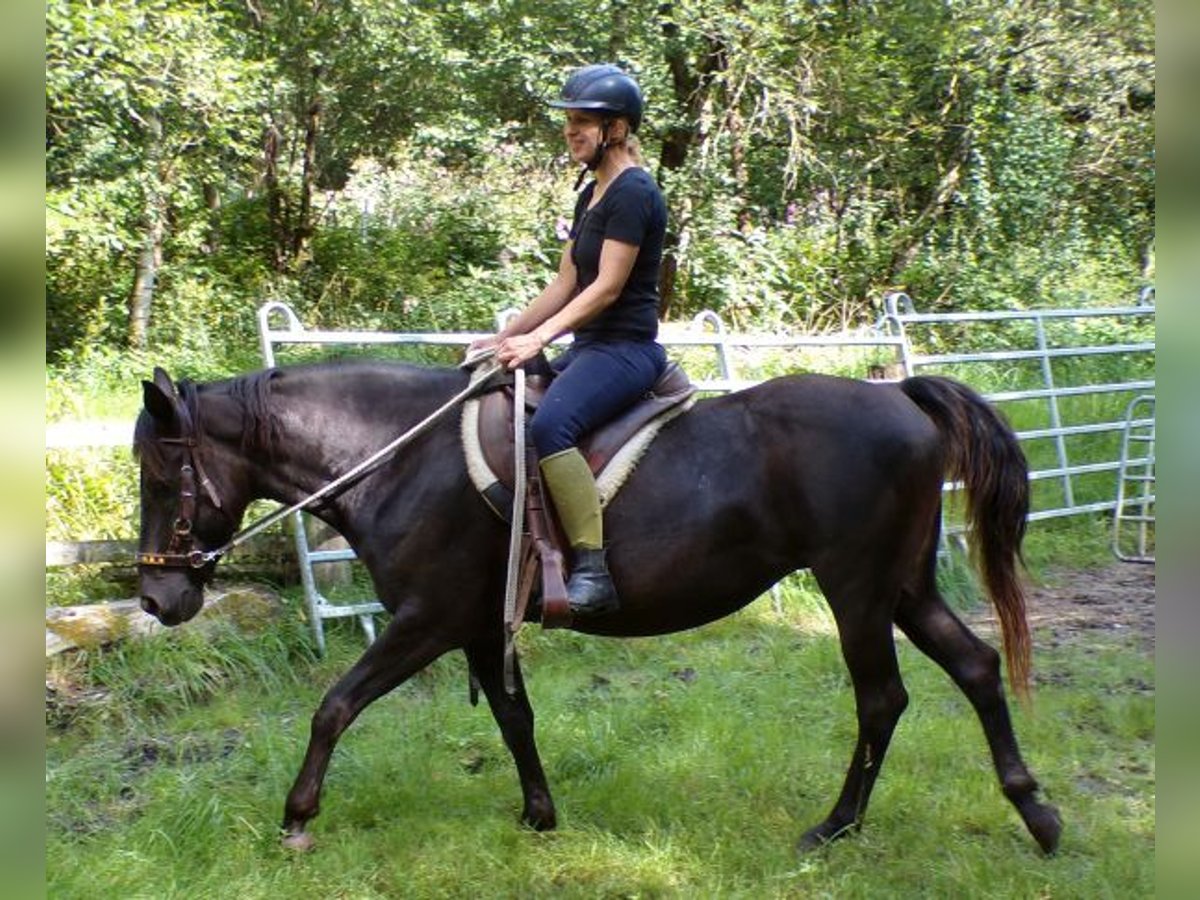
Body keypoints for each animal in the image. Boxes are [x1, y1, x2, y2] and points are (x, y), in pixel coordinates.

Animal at [133, 362, 1060, 859]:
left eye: (160, 473)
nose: (155, 596)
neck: (402, 458)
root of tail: (900, 394)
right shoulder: (478, 628)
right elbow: (515, 720)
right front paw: (539, 816)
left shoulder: (425, 622)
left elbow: (334, 705)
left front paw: (298, 816)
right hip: (904, 588)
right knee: (976, 668)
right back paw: (1037, 813)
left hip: (858, 591)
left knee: (882, 699)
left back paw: (835, 827)